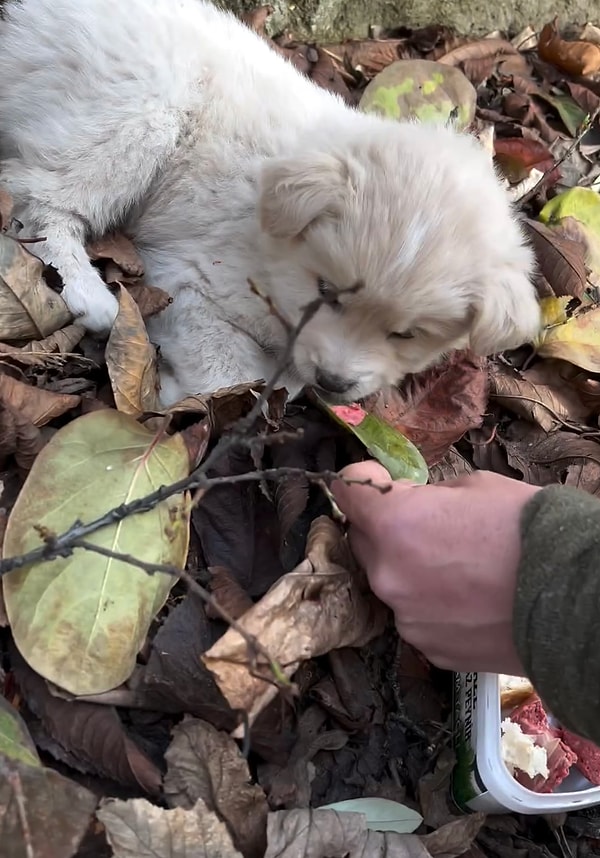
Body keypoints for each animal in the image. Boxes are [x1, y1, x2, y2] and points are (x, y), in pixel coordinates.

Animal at [0, 0, 540, 402]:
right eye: (326, 292)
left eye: (407, 335)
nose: (334, 383)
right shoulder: (192, 276)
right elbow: (234, 370)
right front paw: (179, 392)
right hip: (141, 106)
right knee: (36, 196)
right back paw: (90, 295)